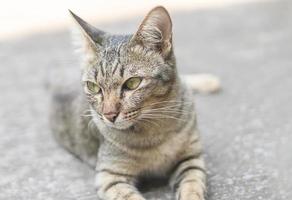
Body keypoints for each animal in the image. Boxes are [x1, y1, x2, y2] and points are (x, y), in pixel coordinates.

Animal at [50, 5, 219, 200]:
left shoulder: (191, 159)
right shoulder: (110, 176)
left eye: (132, 83)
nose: (108, 115)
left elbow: (191, 189)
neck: (156, 128)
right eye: (93, 87)